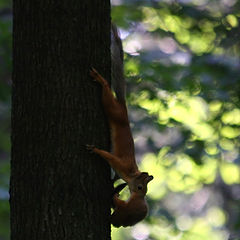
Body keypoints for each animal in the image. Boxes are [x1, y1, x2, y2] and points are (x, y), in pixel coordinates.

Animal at [87, 24, 153, 227]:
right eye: (140, 186)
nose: (140, 195)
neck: (131, 172)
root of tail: (123, 108)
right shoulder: (122, 165)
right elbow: (110, 158)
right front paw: (97, 151)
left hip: (113, 110)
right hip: (113, 110)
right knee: (107, 95)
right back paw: (101, 80)